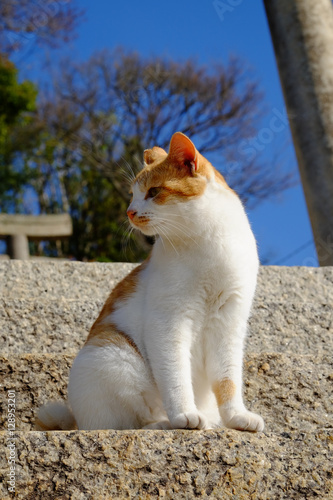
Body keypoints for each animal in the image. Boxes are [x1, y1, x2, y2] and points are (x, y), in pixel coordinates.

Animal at [36, 133, 264, 434]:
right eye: (133, 194)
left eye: (154, 192)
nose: (130, 212)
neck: (208, 244)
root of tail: (77, 421)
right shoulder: (168, 321)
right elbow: (176, 374)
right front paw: (185, 413)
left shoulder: (229, 323)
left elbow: (228, 379)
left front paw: (236, 417)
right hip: (113, 355)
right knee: (128, 423)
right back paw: (165, 422)